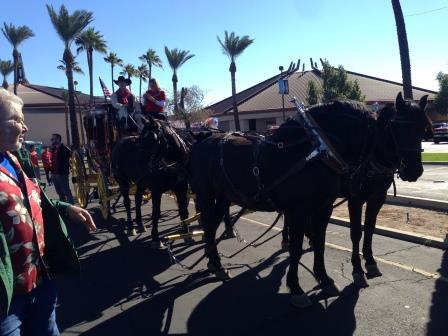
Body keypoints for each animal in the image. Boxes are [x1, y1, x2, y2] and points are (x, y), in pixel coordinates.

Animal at [112, 117, 191, 247]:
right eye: (141, 137)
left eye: (150, 139)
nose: (149, 166)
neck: (173, 164)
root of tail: (119, 143)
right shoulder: (156, 190)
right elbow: (156, 213)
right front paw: (155, 237)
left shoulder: (181, 188)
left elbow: (183, 209)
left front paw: (186, 232)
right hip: (123, 181)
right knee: (127, 202)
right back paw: (131, 226)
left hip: (141, 182)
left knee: (138, 199)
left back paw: (140, 224)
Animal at [188, 92, 428, 308]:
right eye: (395, 128)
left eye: (423, 128)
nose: (414, 171)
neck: (316, 151)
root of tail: (203, 140)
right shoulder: (328, 204)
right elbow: (312, 244)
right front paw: (298, 287)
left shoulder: (336, 204)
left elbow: (338, 237)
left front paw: (327, 278)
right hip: (206, 195)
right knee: (209, 225)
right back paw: (218, 264)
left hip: (222, 195)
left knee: (213, 225)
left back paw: (214, 262)